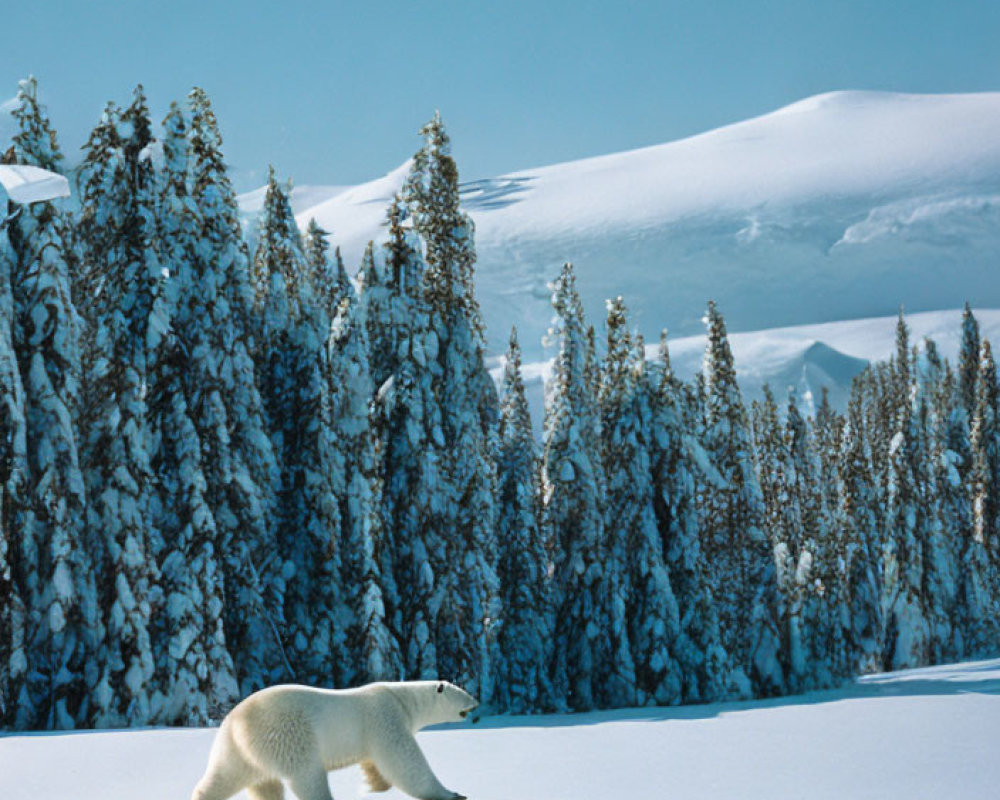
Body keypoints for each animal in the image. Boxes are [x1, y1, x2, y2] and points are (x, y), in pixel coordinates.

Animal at [193, 680, 482, 800]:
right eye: (463, 691)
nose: (477, 703)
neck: (401, 698)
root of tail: (238, 721)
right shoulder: (384, 717)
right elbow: (404, 761)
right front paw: (453, 794)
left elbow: (375, 764)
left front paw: (372, 787)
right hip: (289, 734)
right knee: (308, 777)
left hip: (234, 748)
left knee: (229, 776)